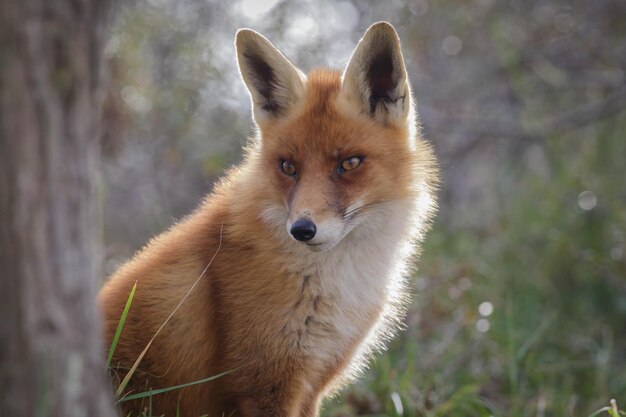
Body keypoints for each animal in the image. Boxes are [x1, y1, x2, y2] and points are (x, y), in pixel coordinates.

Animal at [98, 22, 438, 416]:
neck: (332, 284)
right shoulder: (264, 384)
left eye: (349, 163)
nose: (302, 230)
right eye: (288, 167)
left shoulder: (311, 384)